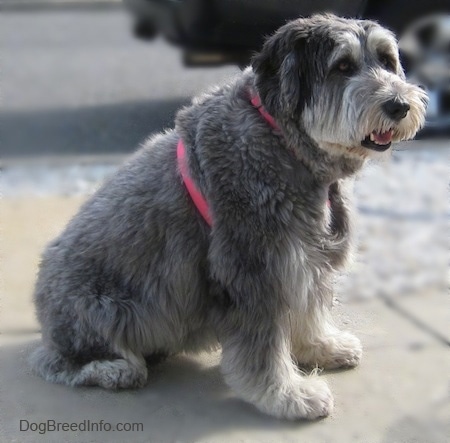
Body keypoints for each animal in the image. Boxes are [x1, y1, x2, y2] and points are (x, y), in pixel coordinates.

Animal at [30, 14, 426, 424]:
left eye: (387, 60)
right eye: (343, 66)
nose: (399, 105)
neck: (281, 139)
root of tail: (41, 304)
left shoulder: (302, 255)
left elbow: (309, 308)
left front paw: (321, 346)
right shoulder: (255, 272)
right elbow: (265, 348)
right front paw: (288, 395)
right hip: (106, 310)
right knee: (55, 362)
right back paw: (113, 368)